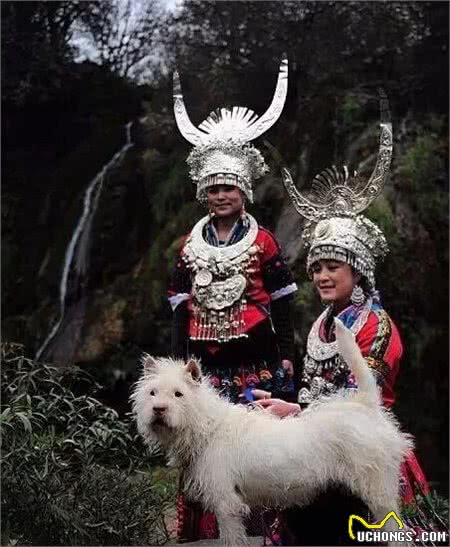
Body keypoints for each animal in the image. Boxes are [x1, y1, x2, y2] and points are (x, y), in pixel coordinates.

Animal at [130, 318, 412, 544]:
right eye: (152, 393)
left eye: (179, 394)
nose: (158, 409)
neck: (207, 425)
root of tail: (364, 405)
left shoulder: (227, 505)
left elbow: (232, 540)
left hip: (378, 490)